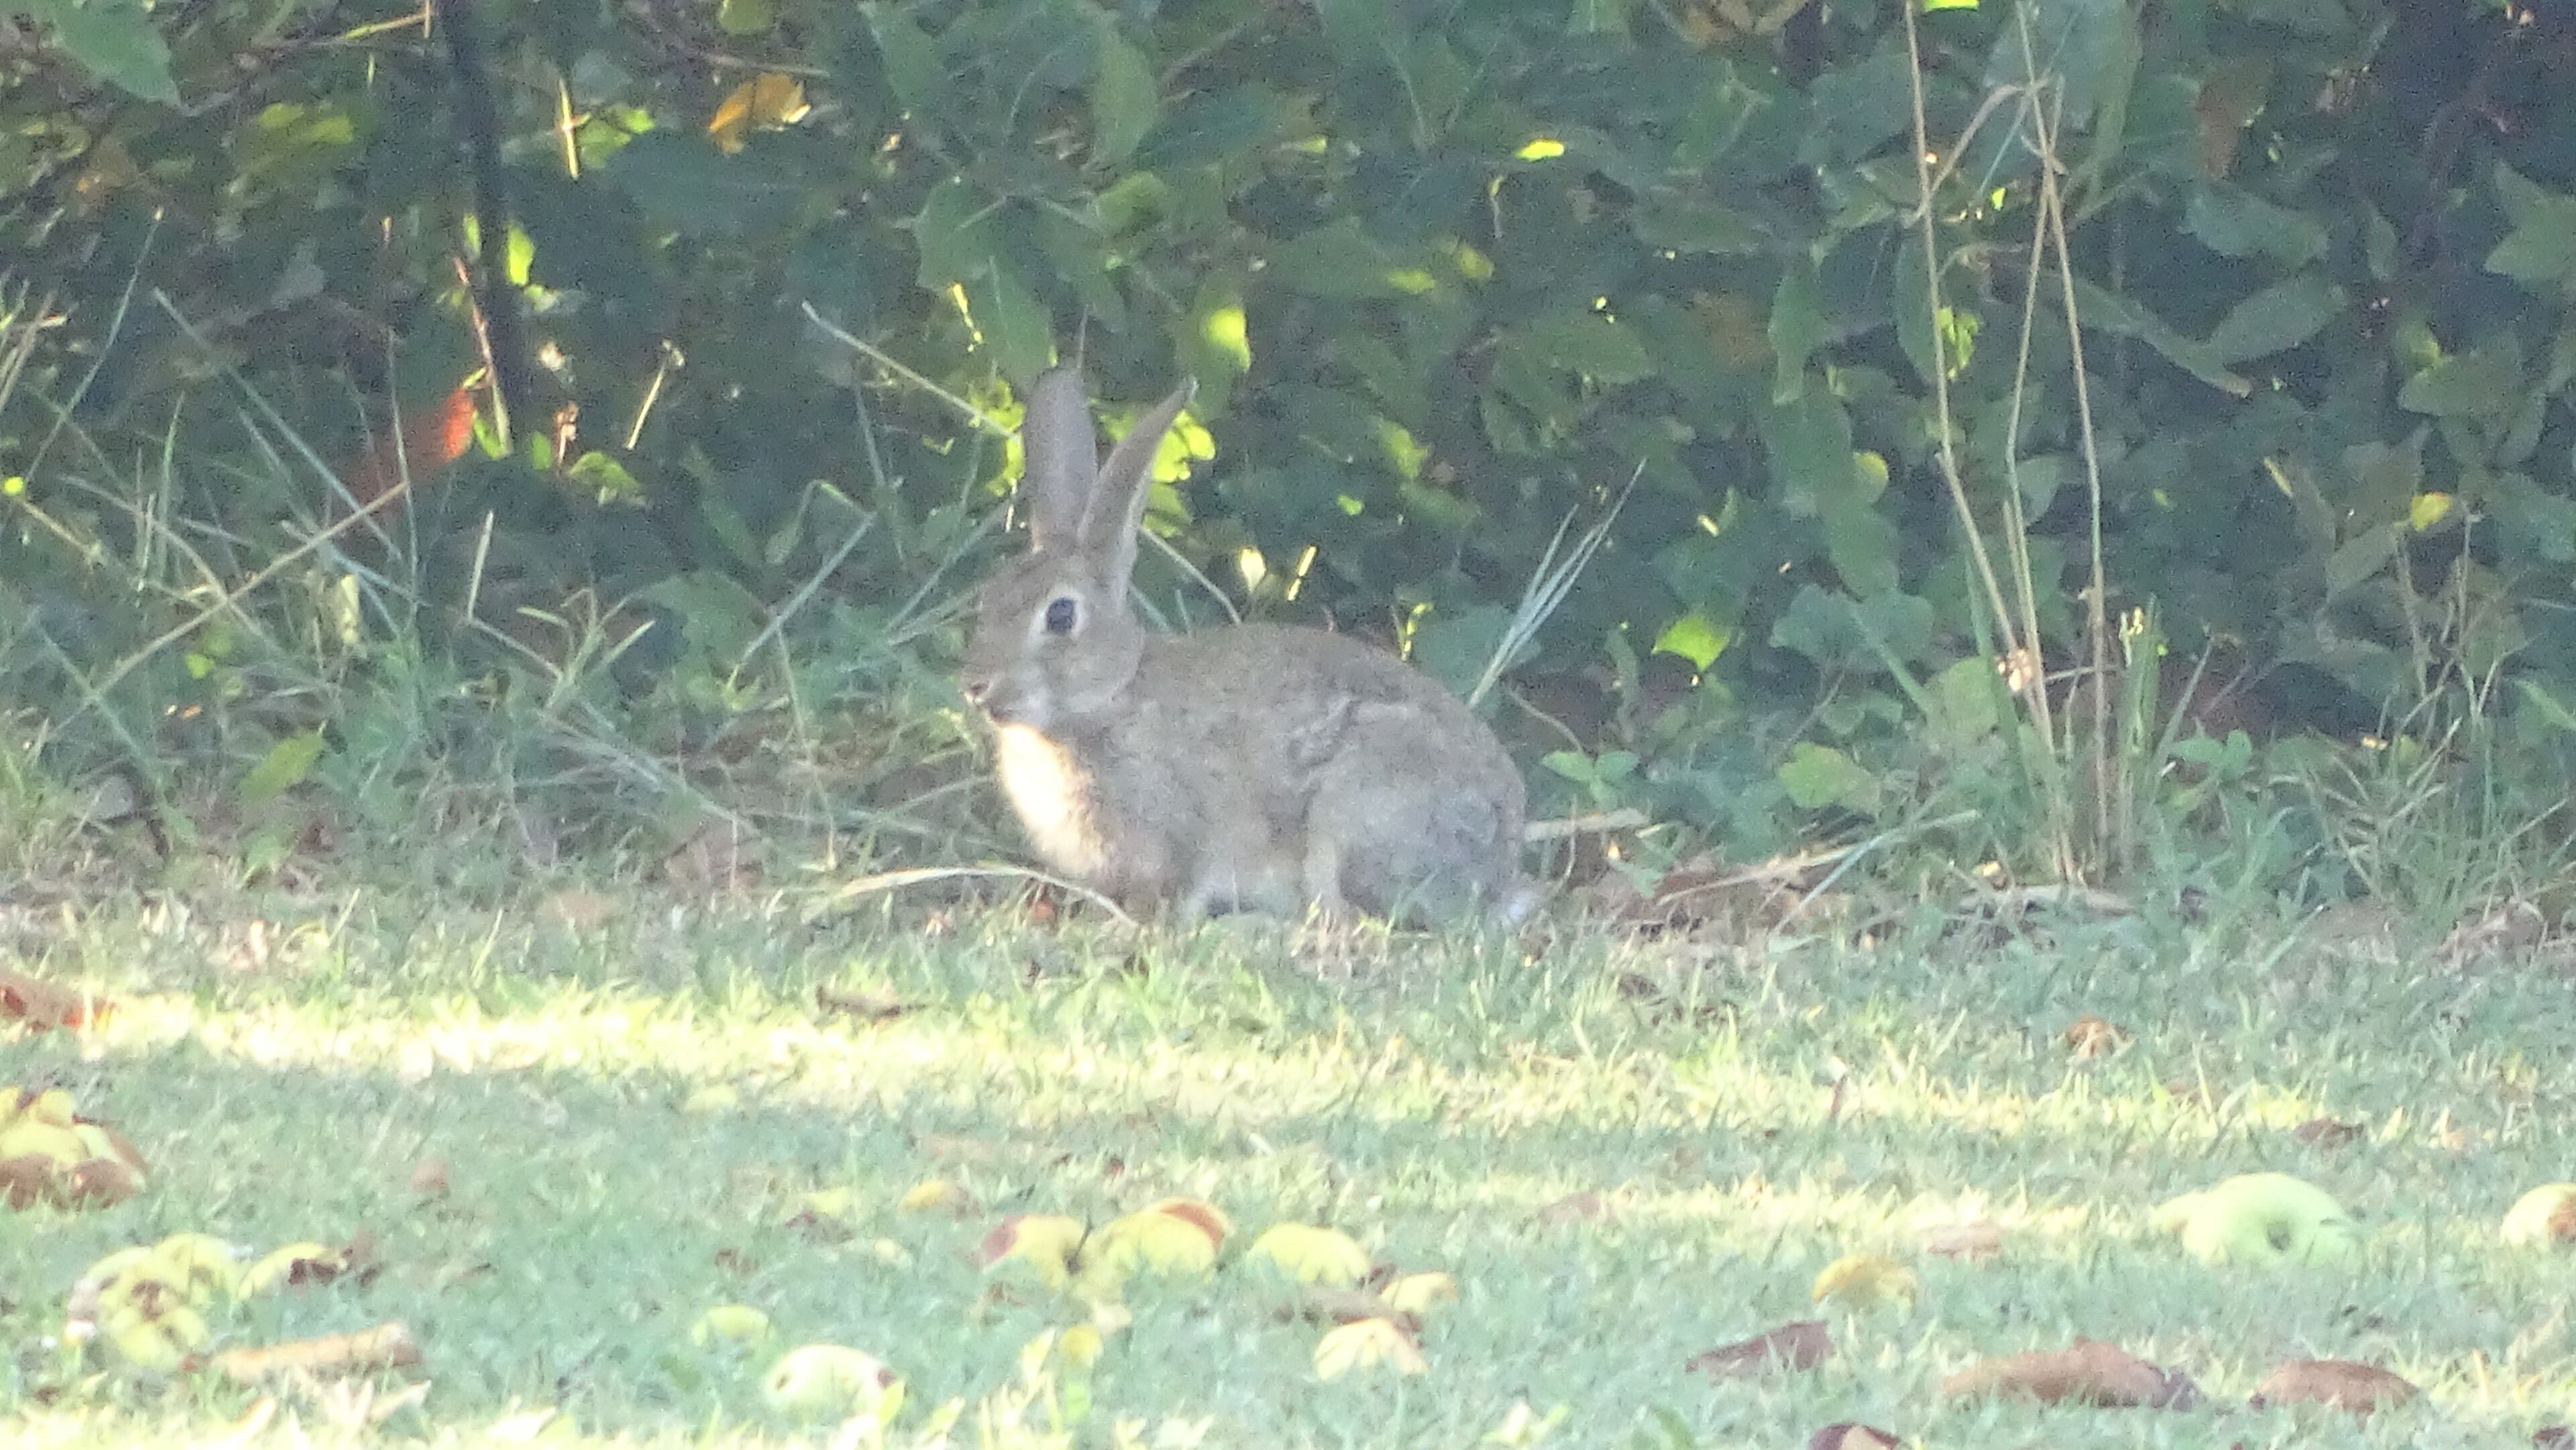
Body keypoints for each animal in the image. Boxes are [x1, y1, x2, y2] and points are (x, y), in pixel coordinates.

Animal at [960, 363, 1535, 926]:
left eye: (1060, 616)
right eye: (987, 598)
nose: (975, 685)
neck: (1108, 699)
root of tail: (1499, 871)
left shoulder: (1178, 832)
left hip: (1355, 807)